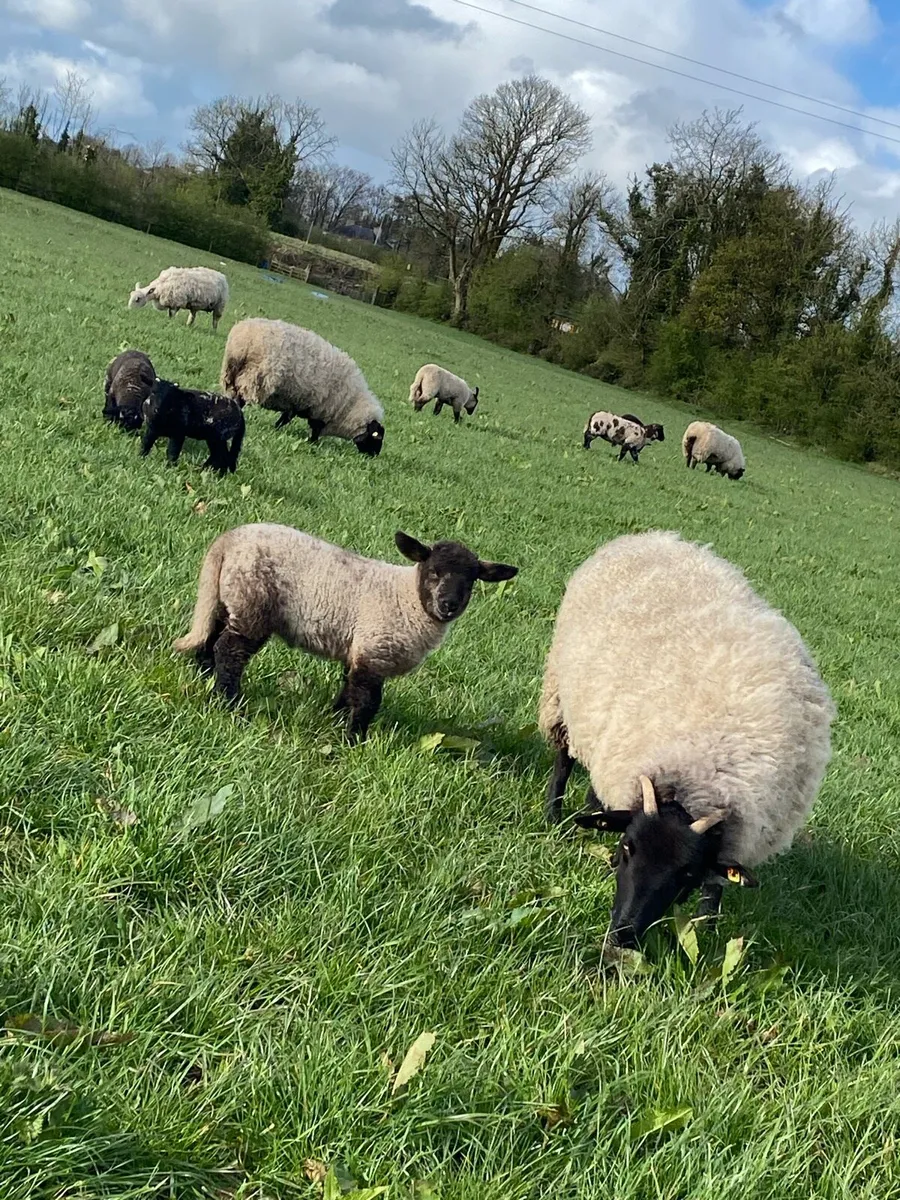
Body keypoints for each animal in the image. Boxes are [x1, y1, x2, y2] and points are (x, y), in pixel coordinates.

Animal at [173, 526, 518, 740]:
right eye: (434, 572)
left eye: (471, 581)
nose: (449, 605)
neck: (407, 598)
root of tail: (228, 540)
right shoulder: (374, 651)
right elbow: (367, 701)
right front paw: (354, 739)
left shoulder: (358, 650)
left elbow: (348, 692)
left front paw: (335, 719)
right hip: (252, 603)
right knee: (230, 651)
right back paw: (229, 701)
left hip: (228, 597)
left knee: (211, 638)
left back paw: (205, 677)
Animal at [220, 318, 385, 456]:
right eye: (377, 437)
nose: (374, 456)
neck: (350, 406)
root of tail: (244, 338)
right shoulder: (320, 410)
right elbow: (313, 429)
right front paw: (313, 443)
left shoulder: (297, 402)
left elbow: (286, 418)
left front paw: (276, 428)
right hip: (254, 377)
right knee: (240, 400)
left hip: (232, 374)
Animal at [538, 530, 834, 947]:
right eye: (628, 847)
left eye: (687, 874)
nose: (622, 935)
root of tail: (652, 536)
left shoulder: (733, 837)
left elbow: (716, 887)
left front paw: (705, 929)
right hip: (564, 695)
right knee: (564, 758)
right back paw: (554, 815)